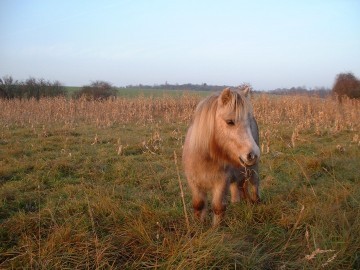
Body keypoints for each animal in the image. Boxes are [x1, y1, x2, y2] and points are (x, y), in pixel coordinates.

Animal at [181, 87, 260, 226]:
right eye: (230, 122)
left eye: (248, 123)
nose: (252, 155)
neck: (206, 158)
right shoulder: (194, 182)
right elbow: (198, 204)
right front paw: (199, 225)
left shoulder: (221, 182)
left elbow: (218, 207)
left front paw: (216, 228)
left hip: (252, 169)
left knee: (255, 184)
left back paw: (256, 202)